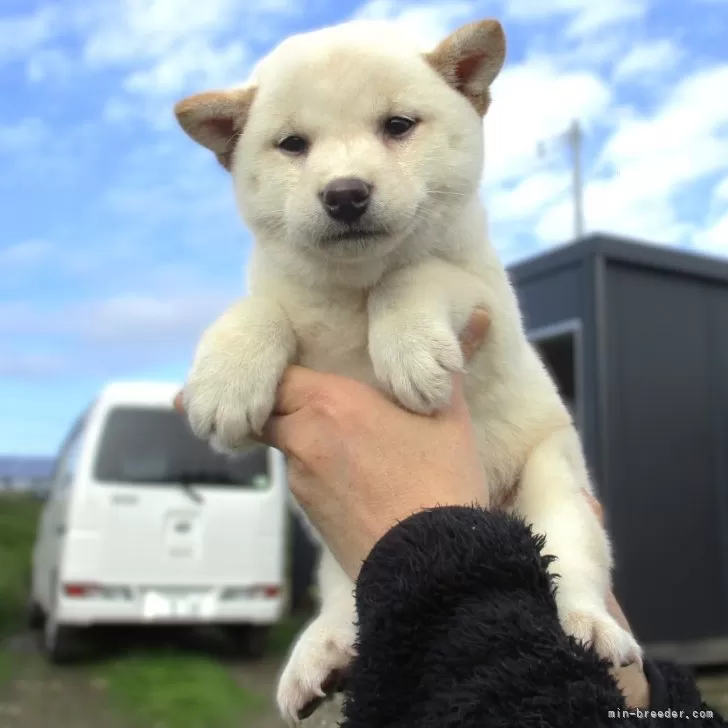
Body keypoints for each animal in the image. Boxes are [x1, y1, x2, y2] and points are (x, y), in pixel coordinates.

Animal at [173, 17, 640, 724]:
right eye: (292, 145)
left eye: (397, 126)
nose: (344, 193)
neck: (353, 292)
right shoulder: (289, 294)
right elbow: (260, 305)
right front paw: (227, 375)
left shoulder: (481, 294)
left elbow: (416, 274)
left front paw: (408, 344)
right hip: (338, 554)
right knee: (343, 591)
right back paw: (323, 648)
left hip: (553, 478)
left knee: (572, 561)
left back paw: (588, 623)